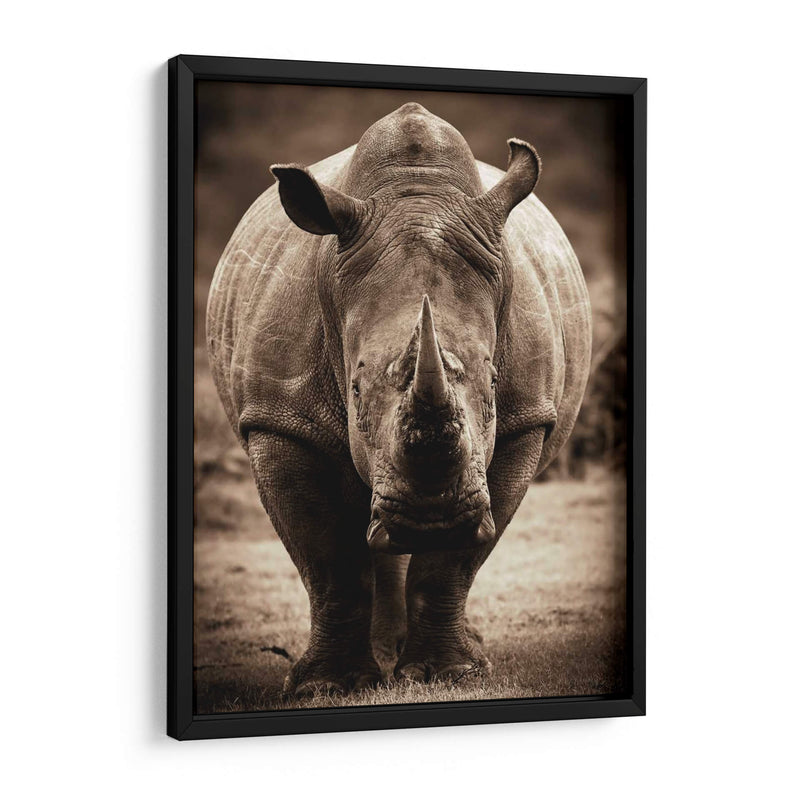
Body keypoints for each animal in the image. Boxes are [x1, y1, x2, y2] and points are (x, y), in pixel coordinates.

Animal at [206, 103, 591, 696]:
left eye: (495, 383)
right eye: (355, 390)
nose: (431, 519)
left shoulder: (526, 419)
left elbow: (455, 564)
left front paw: (447, 675)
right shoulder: (278, 419)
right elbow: (327, 558)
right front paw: (331, 687)